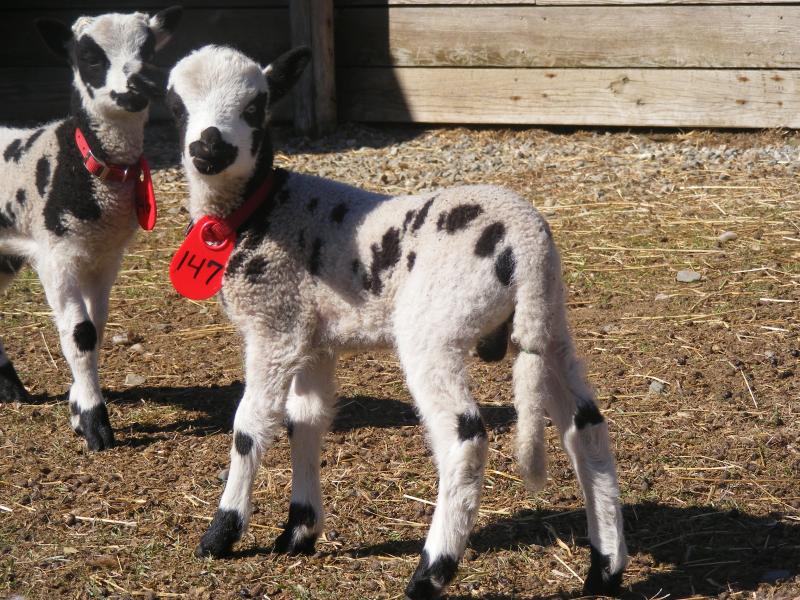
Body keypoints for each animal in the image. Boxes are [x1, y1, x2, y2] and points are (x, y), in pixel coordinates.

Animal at [0, 8, 182, 450]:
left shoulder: (105, 256)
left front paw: (77, 406)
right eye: (90, 57)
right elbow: (80, 332)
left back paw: (10, 387)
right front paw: (94, 421)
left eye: (148, 49)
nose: (137, 85)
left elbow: (95, 329)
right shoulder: (56, 256)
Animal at [167, 45, 627, 599]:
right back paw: (605, 569)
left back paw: (430, 571)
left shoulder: (274, 324)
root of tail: (526, 241)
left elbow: (249, 426)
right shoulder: (312, 335)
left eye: (257, 107)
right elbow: (307, 422)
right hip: (551, 322)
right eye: (176, 105)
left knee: (465, 440)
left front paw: (222, 533)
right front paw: (299, 531)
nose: (207, 147)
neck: (261, 211)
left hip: (434, 329)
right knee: (588, 428)